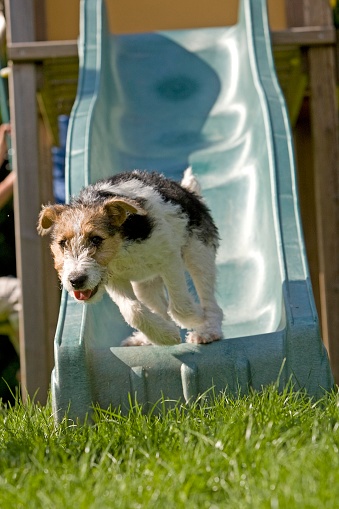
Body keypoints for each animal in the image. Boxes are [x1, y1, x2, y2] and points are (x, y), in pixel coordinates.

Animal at [37, 167, 223, 346]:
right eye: (62, 243)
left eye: (96, 239)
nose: (76, 280)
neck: (121, 247)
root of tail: (187, 191)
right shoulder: (114, 280)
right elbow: (132, 311)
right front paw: (166, 336)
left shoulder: (169, 260)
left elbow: (180, 306)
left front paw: (196, 318)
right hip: (145, 284)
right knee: (158, 306)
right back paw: (148, 337)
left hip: (198, 254)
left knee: (208, 299)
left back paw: (207, 331)